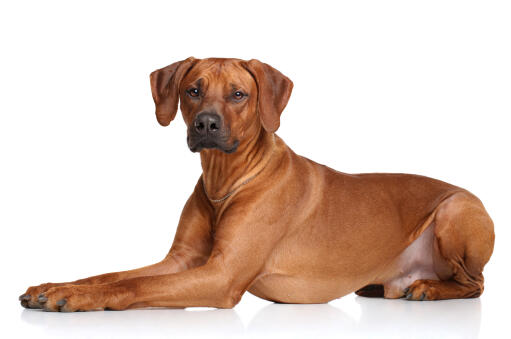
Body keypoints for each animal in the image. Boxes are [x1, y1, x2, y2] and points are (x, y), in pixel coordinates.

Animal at [20, 57, 496, 312]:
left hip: (456, 211)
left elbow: (133, 287)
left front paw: (75, 298)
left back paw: (430, 288)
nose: (205, 124)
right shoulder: (182, 261)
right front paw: (54, 287)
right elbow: (110, 274)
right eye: (193, 90)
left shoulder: (222, 275)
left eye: (238, 94)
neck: (226, 181)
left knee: (475, 284)